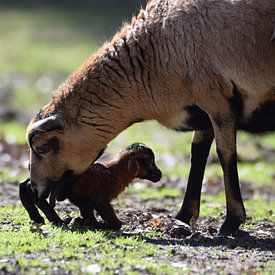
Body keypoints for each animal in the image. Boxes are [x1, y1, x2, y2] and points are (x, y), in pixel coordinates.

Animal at [25, 0, 275, 237]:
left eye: (42, 147)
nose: (35, 189)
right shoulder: (203, 110)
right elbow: (198, 155)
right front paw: (183, 217)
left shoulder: (217, 99)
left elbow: (226, 156)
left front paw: (231, 222)